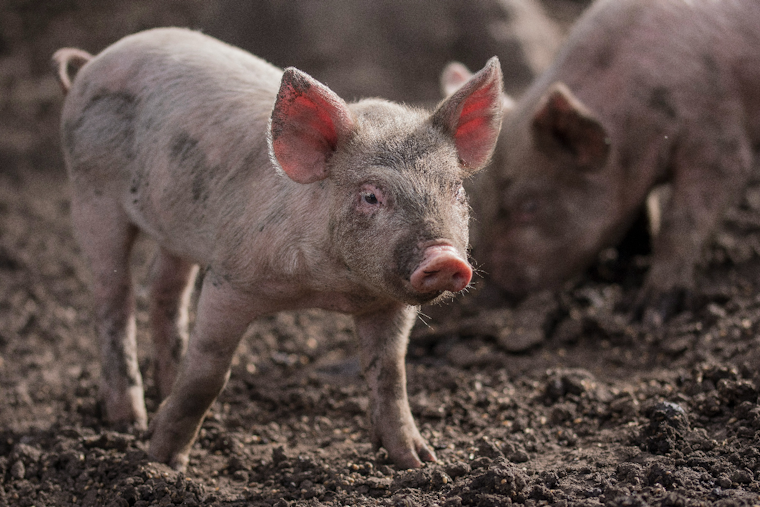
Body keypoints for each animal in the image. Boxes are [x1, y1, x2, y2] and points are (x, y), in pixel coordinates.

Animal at [53, 27, 503, 470]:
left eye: (456, 190)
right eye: (371, 196)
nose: (444, 257)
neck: (328, 290)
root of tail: (92, 63)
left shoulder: (388, 304)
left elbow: (391, 375)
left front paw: (419, 463)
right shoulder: (230, 277)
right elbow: (208, 374)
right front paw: (163, 463)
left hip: (175, 224)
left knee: (165, 289)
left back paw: (162, 389)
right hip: (91, 193)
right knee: (114, 297)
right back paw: (127, 420)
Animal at [441, 0, 760, 324]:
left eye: (530, 206)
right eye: (482, 200)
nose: (485, 298)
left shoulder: (715, 138)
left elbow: (684, 220)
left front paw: (645, 314)